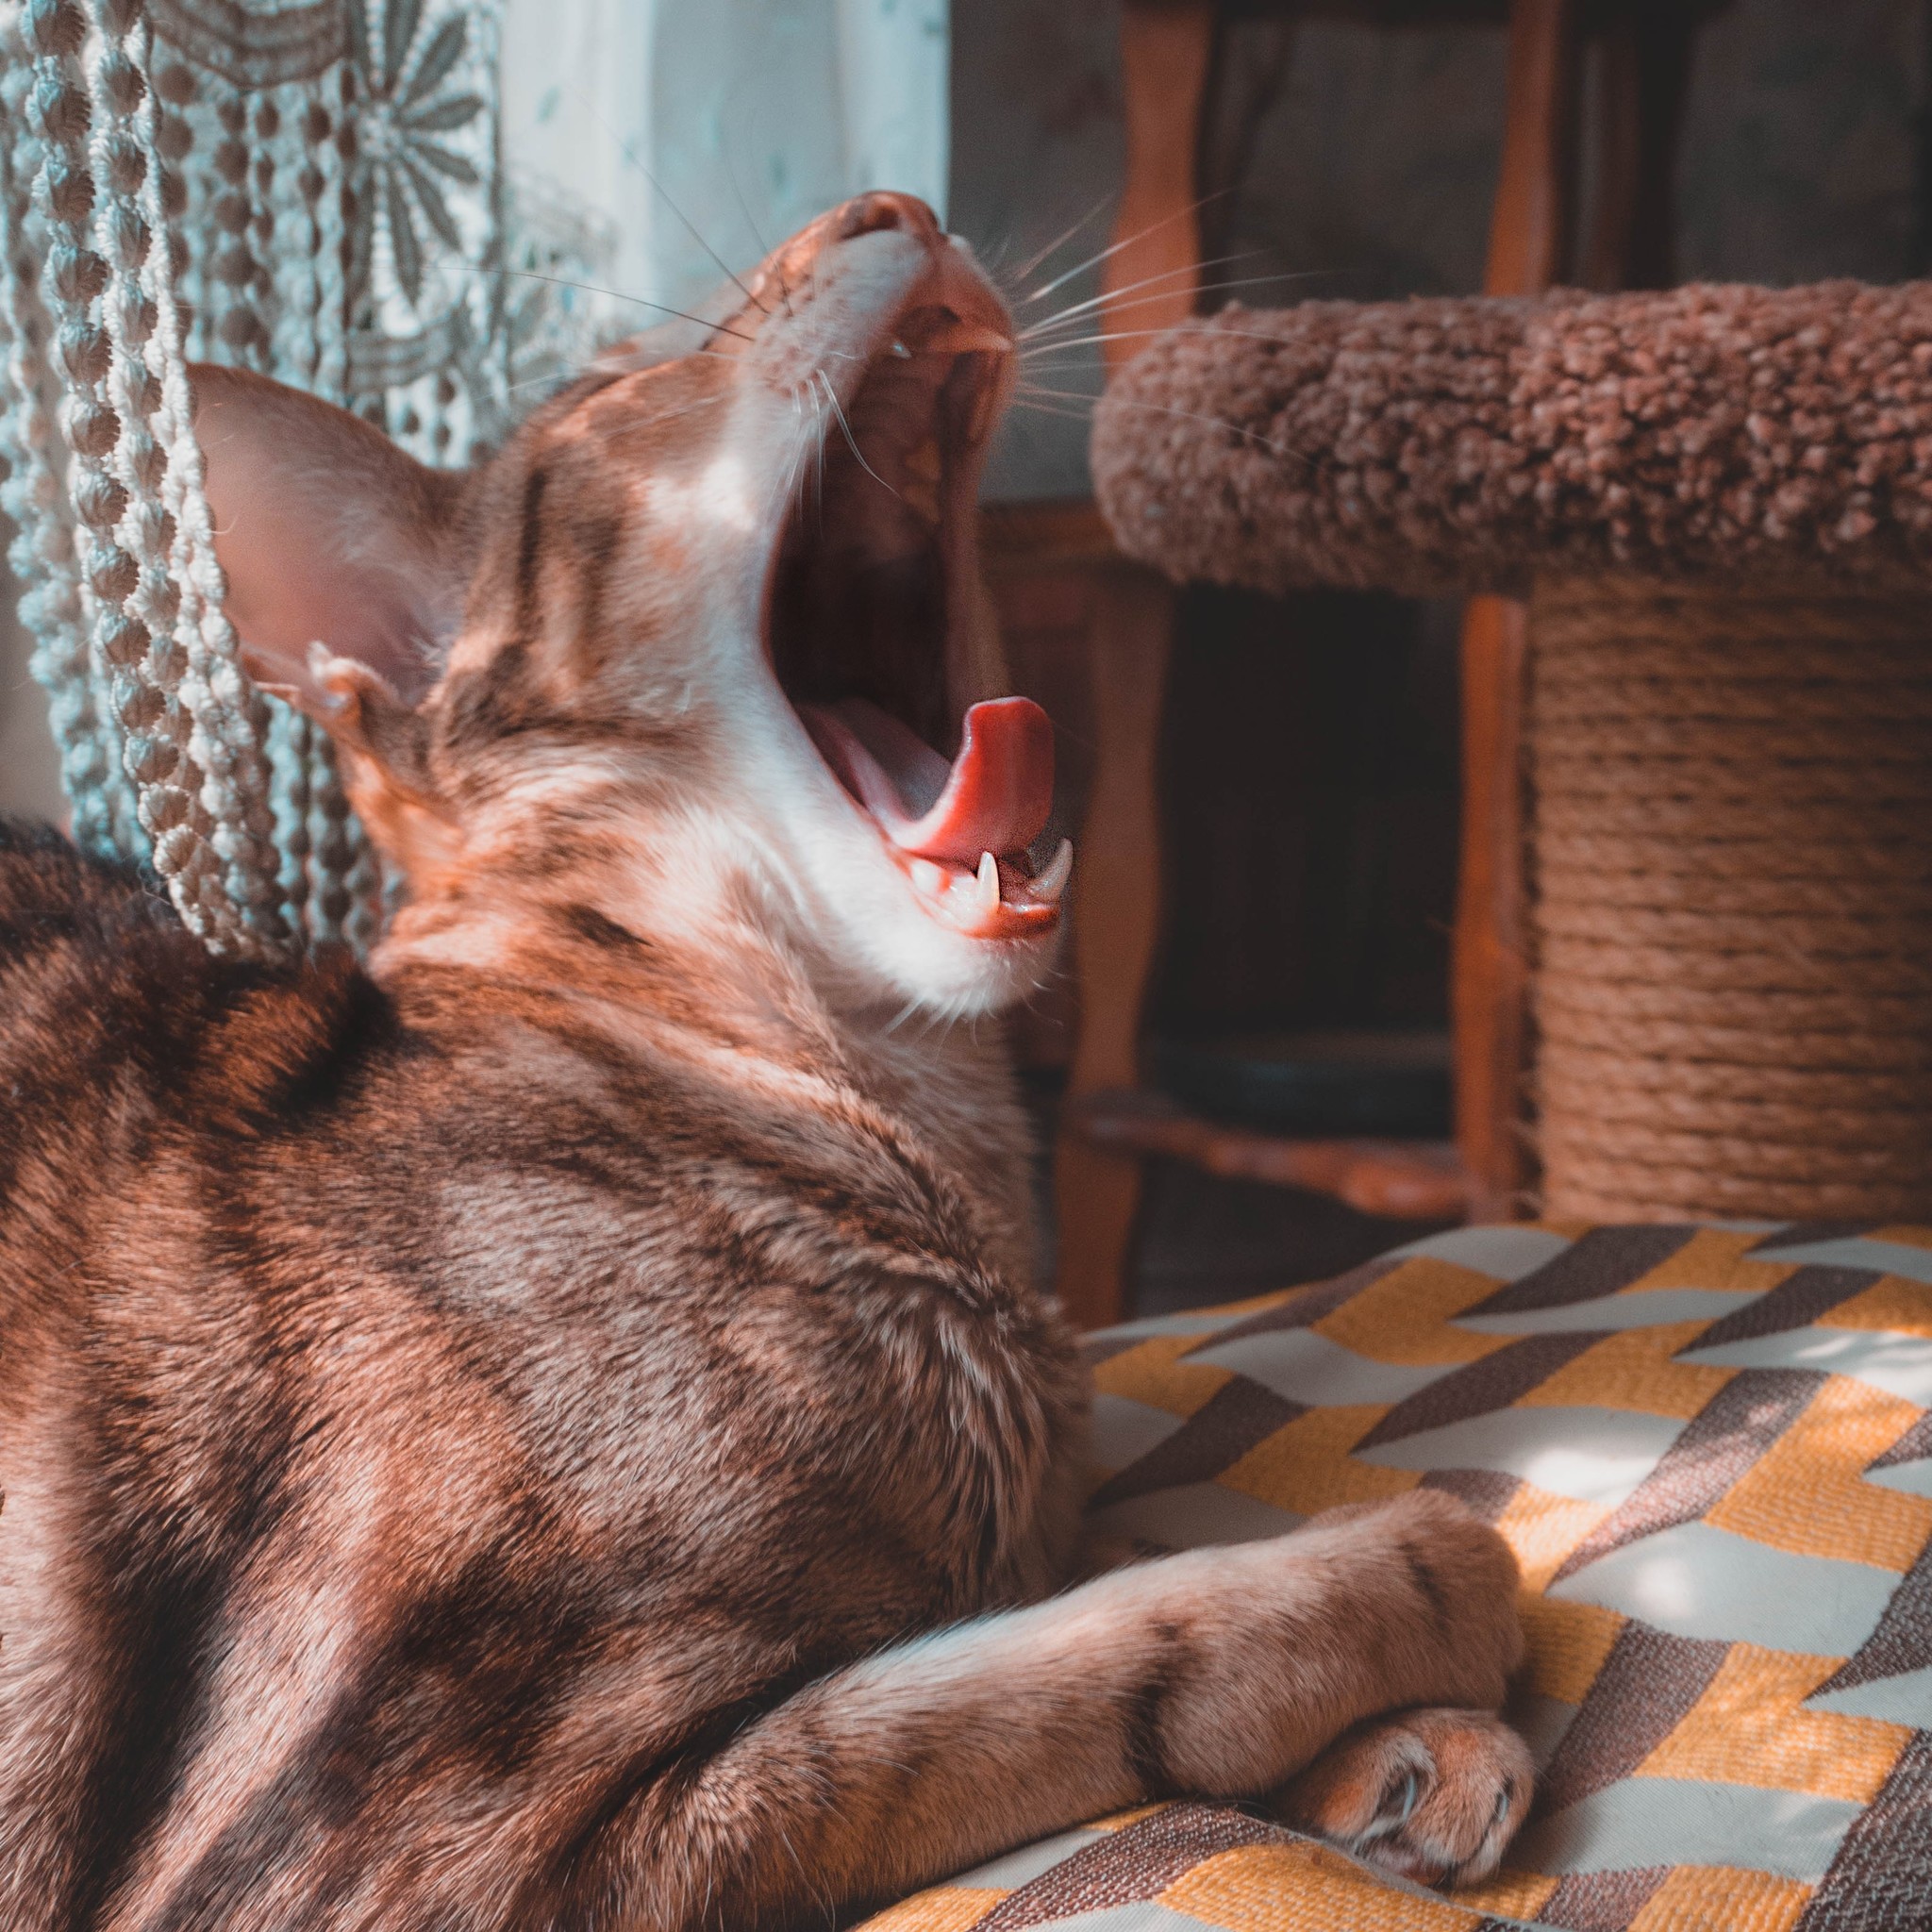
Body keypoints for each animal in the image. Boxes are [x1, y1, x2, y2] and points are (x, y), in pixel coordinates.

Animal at [4, 195, 1538, 1932]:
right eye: (624, 395)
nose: (898, 207)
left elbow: (1048, 1586)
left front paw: (1407, 1746)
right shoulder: (389, 1850)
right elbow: (1048, 1673)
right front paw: (1420, 1578)